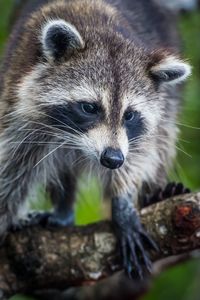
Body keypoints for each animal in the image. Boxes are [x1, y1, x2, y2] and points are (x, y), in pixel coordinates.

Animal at [0, 0, 191, 278]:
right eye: (89, 108)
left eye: (130, 115)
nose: (112, 159)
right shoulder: (18, 108)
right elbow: (11, 170)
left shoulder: (135, 135)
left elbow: (139, 155)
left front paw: (123, 202)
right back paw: (64, 210)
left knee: (163, 140)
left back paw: (154, 192)